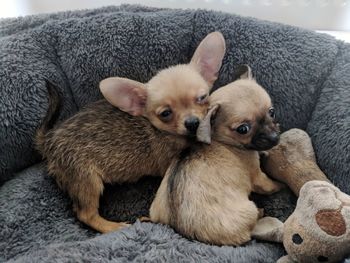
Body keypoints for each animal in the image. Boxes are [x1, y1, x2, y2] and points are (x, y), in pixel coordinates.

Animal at [36, 32, 227, 234]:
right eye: (165, 114)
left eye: (202, 98)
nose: (192, 123)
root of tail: (48, 140)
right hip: (86, 180)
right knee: (86, 214)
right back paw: (113, 226)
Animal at [149, 65, 284, 245]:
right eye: (243, 129)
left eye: (272, 112)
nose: (274, 138)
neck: (220, 139)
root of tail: (185, 233)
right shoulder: (259, 178)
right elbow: (272, 185)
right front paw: (281, 185)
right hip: (250, 210)